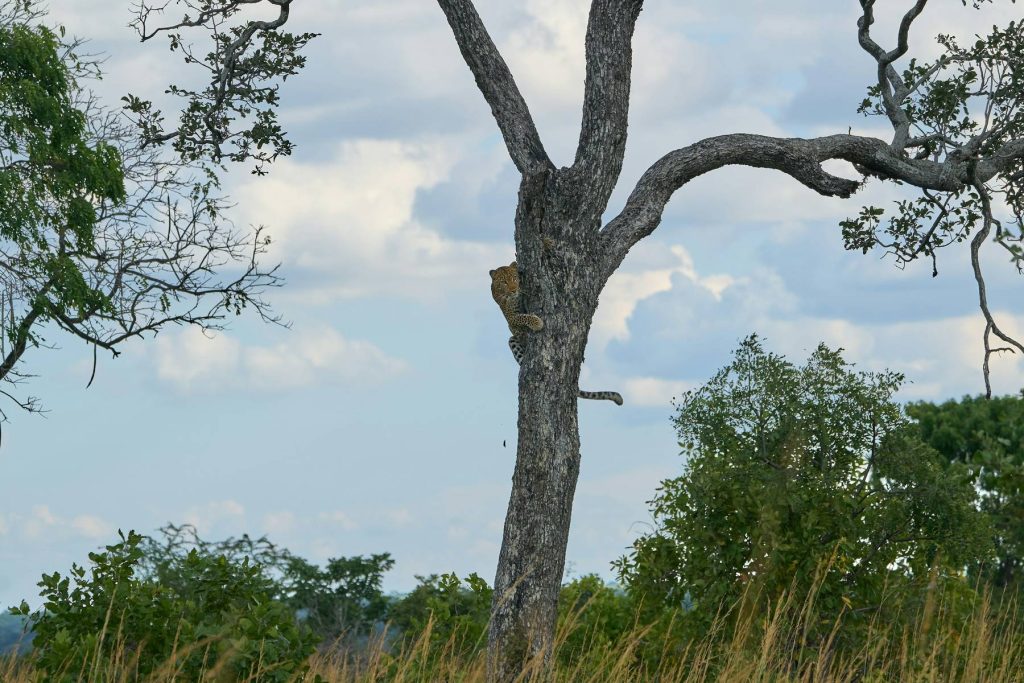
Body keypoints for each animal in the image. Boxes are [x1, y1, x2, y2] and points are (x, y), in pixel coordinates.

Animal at [489, 261, 623, 406]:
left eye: (514, 279)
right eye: (504, 282)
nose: (514, 290)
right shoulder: (511, 319)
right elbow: (522, 316)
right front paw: (537, 323)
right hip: (512, 339)